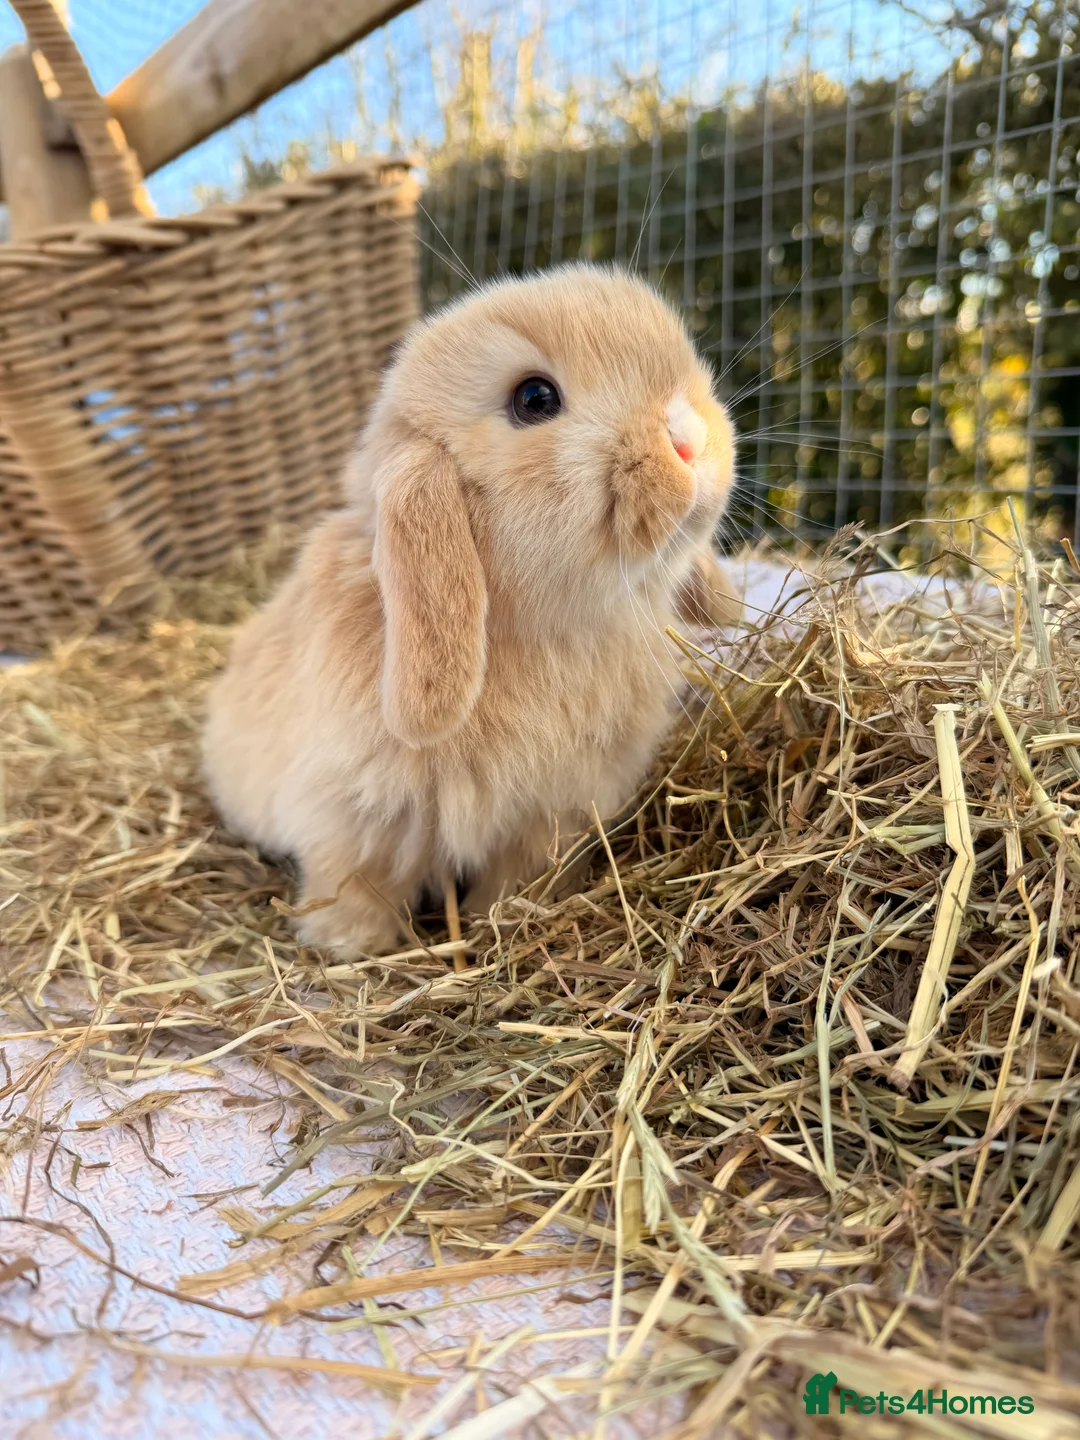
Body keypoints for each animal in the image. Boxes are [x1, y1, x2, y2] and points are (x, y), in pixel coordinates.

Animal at [202, 265, 740, 957]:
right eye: (534, 399)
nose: (691, 438)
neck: (554, 633)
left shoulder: (548, 820)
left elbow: (519, 880)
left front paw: (502, 924)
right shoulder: (352, 819)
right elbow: (354, 884)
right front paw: (348, 947)